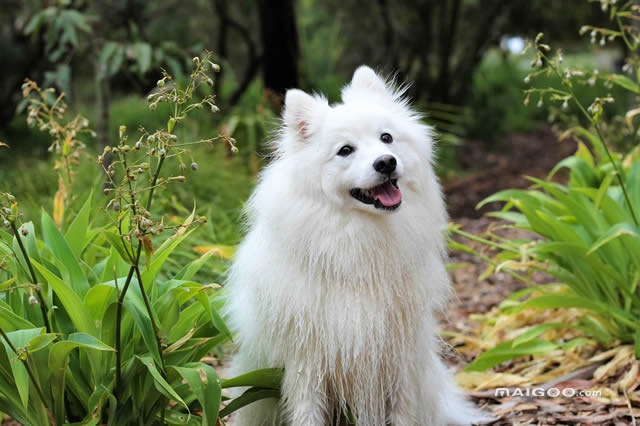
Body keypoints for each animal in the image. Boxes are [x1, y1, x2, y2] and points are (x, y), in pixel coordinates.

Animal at [224, 66, 476, 426]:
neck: (360, 238)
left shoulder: (398, 356)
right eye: (345, 150)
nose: (386, 162)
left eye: (386, 138)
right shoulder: (308, 362)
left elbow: (402, 412)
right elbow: (308, 414)